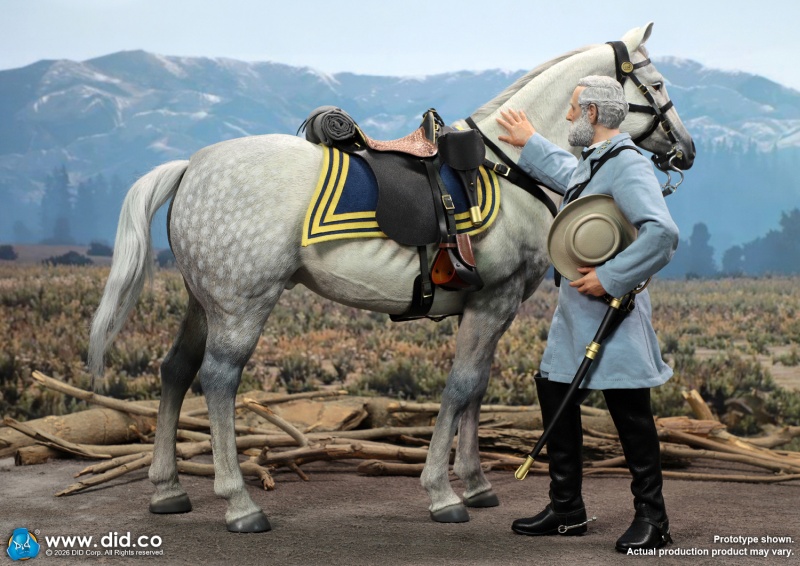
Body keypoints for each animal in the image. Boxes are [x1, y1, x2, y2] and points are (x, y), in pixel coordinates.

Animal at [89, 22, 695, 532]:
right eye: (657, 82)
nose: (686, 150)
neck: (506, 165)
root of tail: (191, 165)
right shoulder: (493, 302)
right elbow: (461, 386)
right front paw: (442, 493)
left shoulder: (487, 311)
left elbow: (477, 388)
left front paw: (475, 483)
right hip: (241, 304)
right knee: (218, 380)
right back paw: (239, 503)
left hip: (203, 301)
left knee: (175, 370)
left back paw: (167, 489)